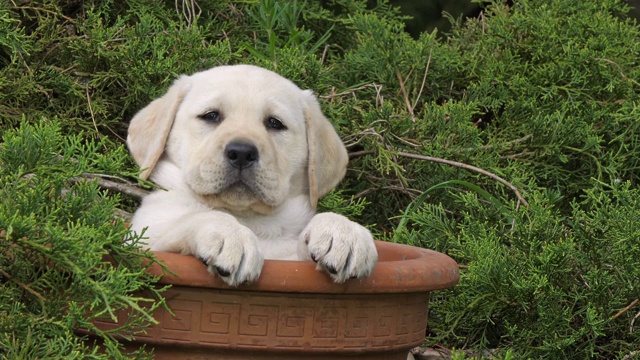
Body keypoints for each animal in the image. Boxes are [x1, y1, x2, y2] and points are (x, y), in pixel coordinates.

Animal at [127, 64, 378, 284]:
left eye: (275, 123)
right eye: (211, 116)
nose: (241, 152)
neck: (250, 219)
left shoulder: (289, 261)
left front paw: (343, 232)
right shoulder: (145, 238)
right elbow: (194, 218)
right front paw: (230, 236)